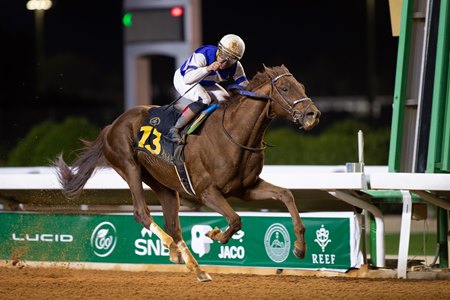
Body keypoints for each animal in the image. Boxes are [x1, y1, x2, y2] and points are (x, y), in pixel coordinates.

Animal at [52, 65, 320, 282]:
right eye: (284, 88)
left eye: (302, 86)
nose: (313, 115)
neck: (234, 134)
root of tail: (112, 125)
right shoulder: (206, 192)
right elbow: (235, 220)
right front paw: (215, 234)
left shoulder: (245, 188)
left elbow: (285, 195)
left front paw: (299, 247)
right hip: (129, 167)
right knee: (142, 213)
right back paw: (171, 247)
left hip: (163, 182)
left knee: (173, 224)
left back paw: (197, 268)